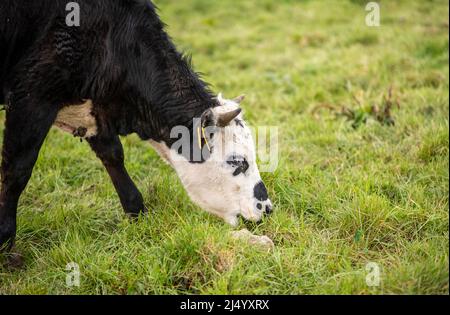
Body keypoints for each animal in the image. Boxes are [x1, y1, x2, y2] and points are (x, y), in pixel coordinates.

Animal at [0, 0, 272, 256]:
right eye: (238, 161)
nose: (267, 208)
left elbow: (113, 155)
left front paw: (136, 211)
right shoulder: (33, 98)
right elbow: (17, 171)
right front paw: (5, 238)